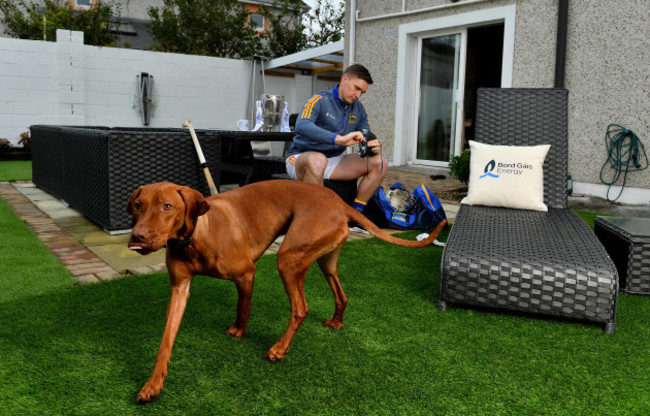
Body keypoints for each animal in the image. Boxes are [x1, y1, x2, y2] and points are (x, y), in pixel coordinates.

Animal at [126, 180, 446, 402]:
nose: (137, 237)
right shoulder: (179, 289)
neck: (196, 237)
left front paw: (239, 330)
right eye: (138, 205)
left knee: (300, 308)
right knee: (342, 295)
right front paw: (153, 384)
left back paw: (280, 348)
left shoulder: (246, 273)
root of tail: (340, 202)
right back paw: (336, 322)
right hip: (325, 261)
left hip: (288, 259)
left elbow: (243, 306)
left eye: (167, 206)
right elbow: (165, 341)